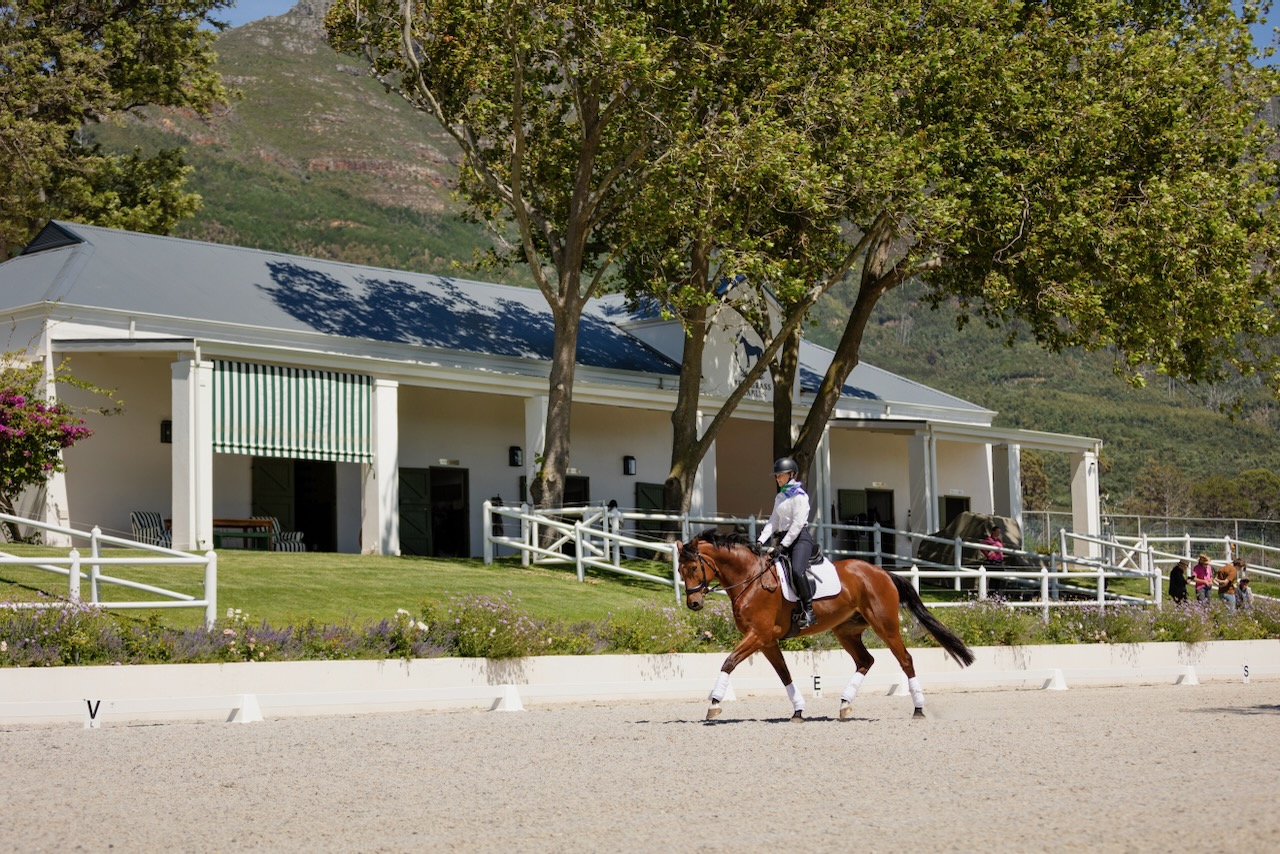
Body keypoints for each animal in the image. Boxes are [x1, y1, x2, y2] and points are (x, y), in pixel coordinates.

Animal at [676, 529, 975, 721]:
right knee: (865, 661)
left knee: (905, 660)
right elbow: (784, 674)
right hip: (846, 630)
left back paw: (918, 709)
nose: (694, 604)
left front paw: (714, 704)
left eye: (694, 568)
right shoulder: (767, 641)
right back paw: (844, 705)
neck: (751, 578)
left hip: (885, 625)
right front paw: (798, 710)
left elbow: (728, 662)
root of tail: (882, 572)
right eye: (680, 570)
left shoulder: (758, 635)